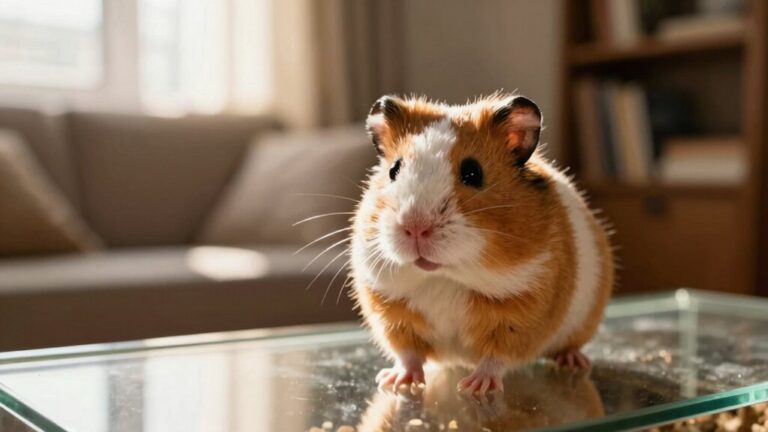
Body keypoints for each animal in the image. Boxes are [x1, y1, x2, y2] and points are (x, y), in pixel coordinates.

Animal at [351, 94, 614, 394]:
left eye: (472, 172)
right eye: (394, 170)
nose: (415, 226)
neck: (445, 277)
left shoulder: (525, 314)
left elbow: (497, 356)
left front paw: (474, 387)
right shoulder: (391, 312)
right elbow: (408, 354)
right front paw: (394, 382)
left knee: (568, 347)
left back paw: (574, 362)